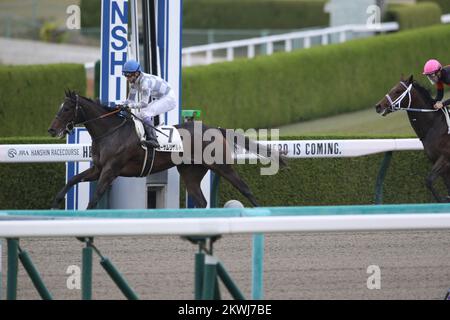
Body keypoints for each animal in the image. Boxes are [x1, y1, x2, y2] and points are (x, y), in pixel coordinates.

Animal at [48, 90, 284, 210]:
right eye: (60, 107)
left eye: (67, 108)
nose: (52, 129)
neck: (111, 132)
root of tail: (215, 128)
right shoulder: (98, 168)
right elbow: (73, 179)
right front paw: (55, 202)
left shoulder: (110, 170)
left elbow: (95, 196)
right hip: (191, 171)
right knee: (201, 200)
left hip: (222, 166)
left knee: (245, 188)